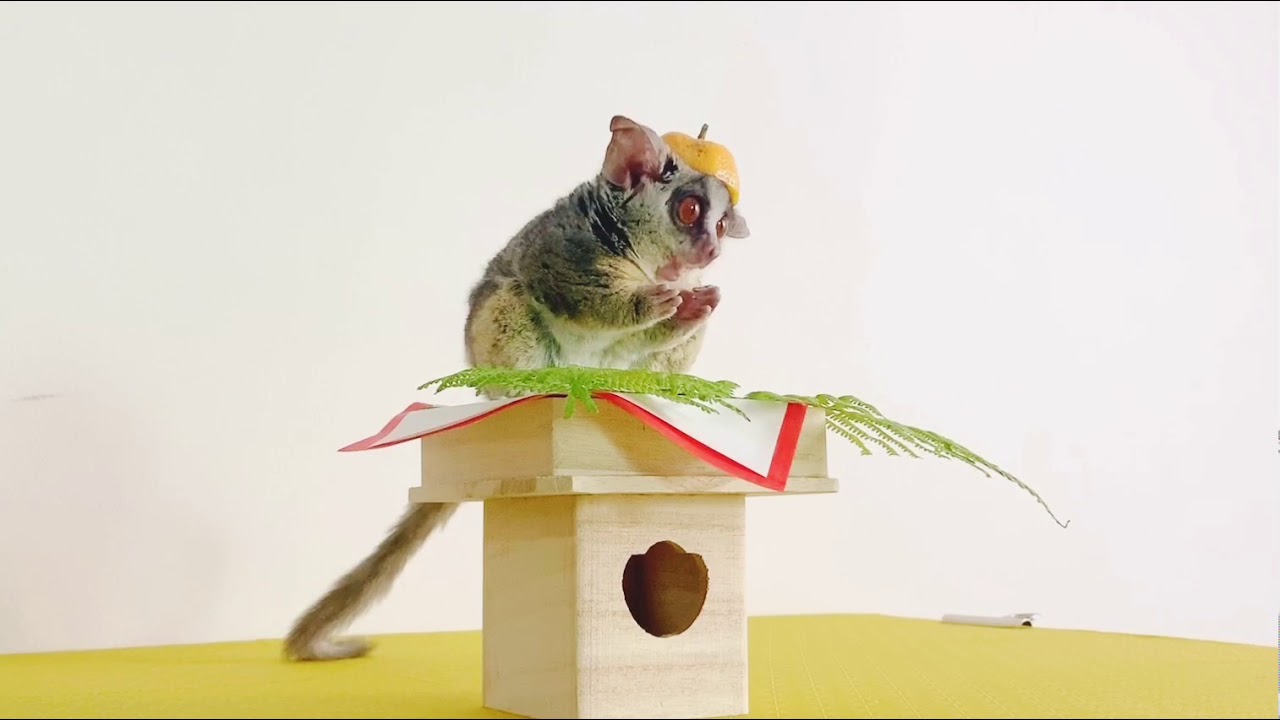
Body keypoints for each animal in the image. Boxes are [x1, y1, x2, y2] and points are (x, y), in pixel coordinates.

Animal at [283, 114, 750, 662]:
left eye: (721, 226)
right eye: (690, 209)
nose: (713, 250)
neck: (648, 262)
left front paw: (691, 307)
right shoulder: (572, 252)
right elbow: (587, 298)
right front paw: (657, 303)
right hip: (499, 333)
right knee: (512, 302)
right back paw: (543, 384)